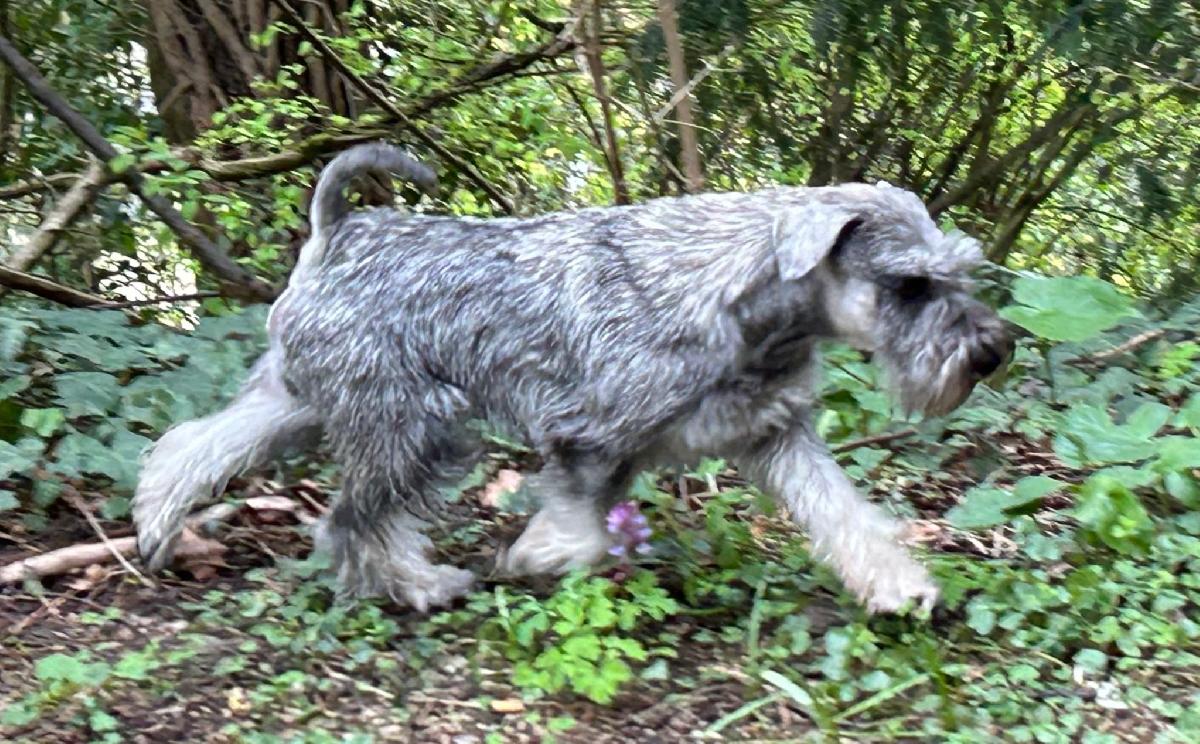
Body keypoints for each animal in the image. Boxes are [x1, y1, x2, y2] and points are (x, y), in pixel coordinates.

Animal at [133, 143, 1011, 613]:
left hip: (306, 399)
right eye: (910, 286)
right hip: (416, 427)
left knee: (197, 443)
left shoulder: (777, 434)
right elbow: (582, 531)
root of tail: (337, 231)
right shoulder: (587, 437)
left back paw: (156, 523)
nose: (991, 352)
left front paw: (899, 585)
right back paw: (421, 584)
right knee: (354, 522)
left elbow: (845, 514)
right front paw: (534, 559)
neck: (745, 299)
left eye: (960, 270)